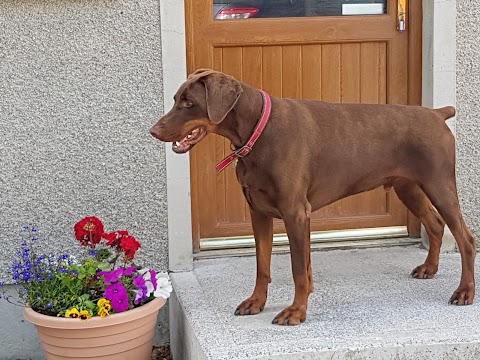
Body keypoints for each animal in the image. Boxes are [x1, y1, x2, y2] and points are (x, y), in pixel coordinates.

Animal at [151, 69, 476, 324]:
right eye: (175, 99)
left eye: (189, 103)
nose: (153, 130)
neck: (258, 131)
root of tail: (437, 113)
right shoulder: (258, 211)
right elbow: (263, 264)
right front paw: (256, 302)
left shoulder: (295, 212)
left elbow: (297, 268)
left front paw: (296, 311)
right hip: (407, 187)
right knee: (435, 224)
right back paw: (429, 269)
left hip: (440, 185)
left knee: (466, 239)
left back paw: (464, 292)